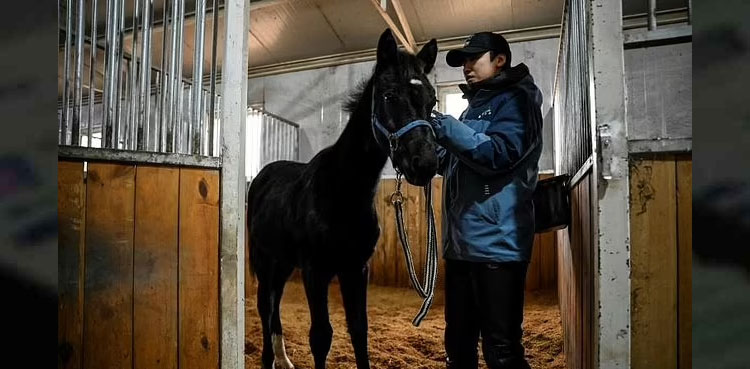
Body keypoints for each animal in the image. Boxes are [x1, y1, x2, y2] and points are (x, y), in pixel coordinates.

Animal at [248, 29, 440, 368]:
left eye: (431, 100)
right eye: (389, 96)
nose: (426, 164)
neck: (341, 191)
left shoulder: (356, 268)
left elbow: (359, 329)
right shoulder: (315, 271)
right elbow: (321, 336)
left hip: (283, 262)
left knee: (275, 306)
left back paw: (283, 358)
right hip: (264, 259)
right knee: (265, 307)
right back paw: (269, 359)